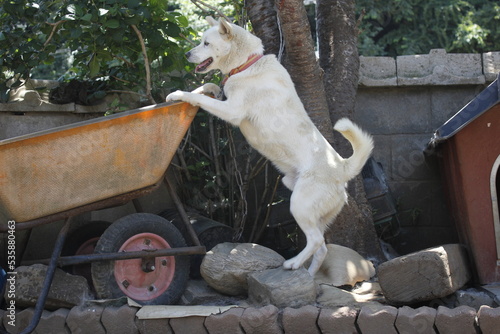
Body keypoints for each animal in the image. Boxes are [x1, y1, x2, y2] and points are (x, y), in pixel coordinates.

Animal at [166, 17, 374, 276]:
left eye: (206, 43)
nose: (186, 54)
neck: (246, 64)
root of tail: (341, 168)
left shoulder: (232, 111)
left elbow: (199, 98)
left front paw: (178, 94)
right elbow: (208, 90)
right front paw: (204, 89)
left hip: (299, 206)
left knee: (315, 241)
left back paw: (292, 263)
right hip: (310, 209)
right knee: (322, 248)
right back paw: (307, 275)